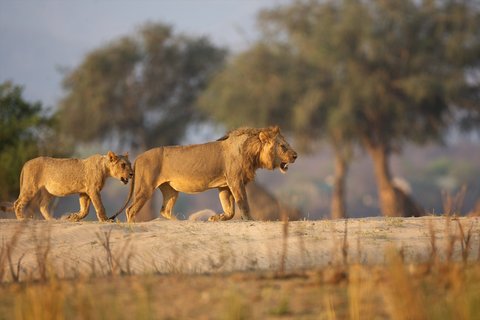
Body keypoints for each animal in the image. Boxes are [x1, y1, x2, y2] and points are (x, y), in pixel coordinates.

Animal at [111, 125, 298, 222]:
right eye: (283, 146)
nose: (295, 155)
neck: (252, 151)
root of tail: (137, 158)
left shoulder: (224, 186)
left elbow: (229, 208)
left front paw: (218, 217)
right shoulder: (235, 181)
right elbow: (243, 203)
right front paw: (249, 219)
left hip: (171, 190)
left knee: (165, 210)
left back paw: (180, 222)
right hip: (145, 188)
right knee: (131, 210)